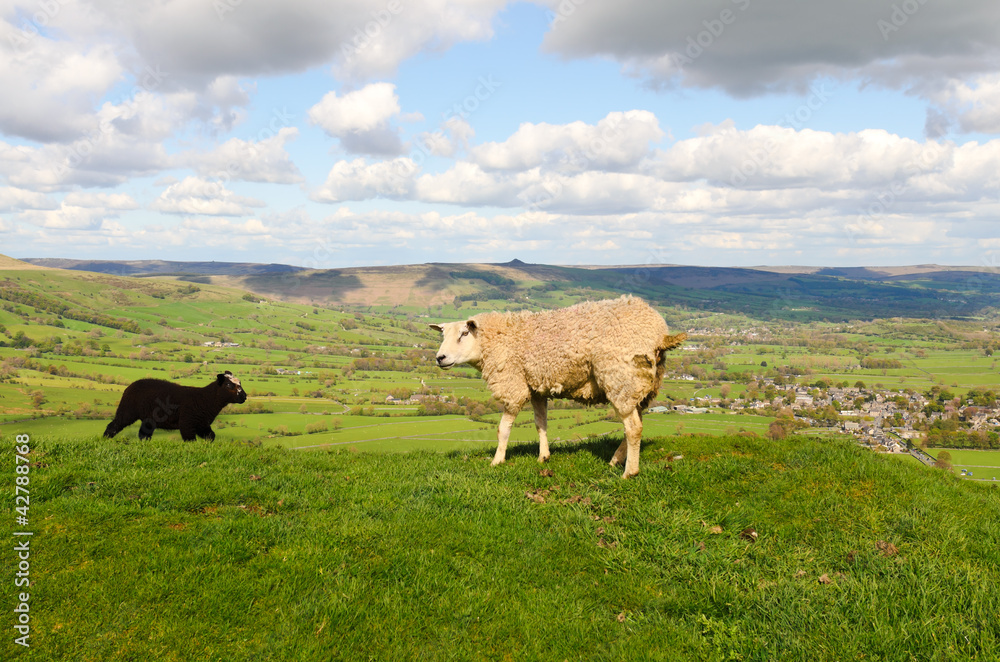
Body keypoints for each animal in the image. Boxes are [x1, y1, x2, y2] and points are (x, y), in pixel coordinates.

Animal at [103, 371, 248, 441]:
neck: (205, 399)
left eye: (240, 383)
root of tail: (131, 385)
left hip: (148, 417)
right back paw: (105, 439)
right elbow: (190, 440)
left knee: (143, 433)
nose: (244, 396)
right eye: (228, 385)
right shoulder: (187, 423)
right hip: (127, 410)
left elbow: (211, 436)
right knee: (114, 425)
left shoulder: (202, 424)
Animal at [430, 295, 686, 478]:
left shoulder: (513, 385)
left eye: (464, 333)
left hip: (620, 377)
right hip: (642, 383)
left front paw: (497, 461)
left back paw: (629, 472)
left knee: (633, 428)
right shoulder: (536, 387)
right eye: (443, 336)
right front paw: (543, 457)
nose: (440, 358)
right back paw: (617, 460)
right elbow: (540, 423)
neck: (494, 340)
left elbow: (503, 429)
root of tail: (660, 333)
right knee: (637, 421)